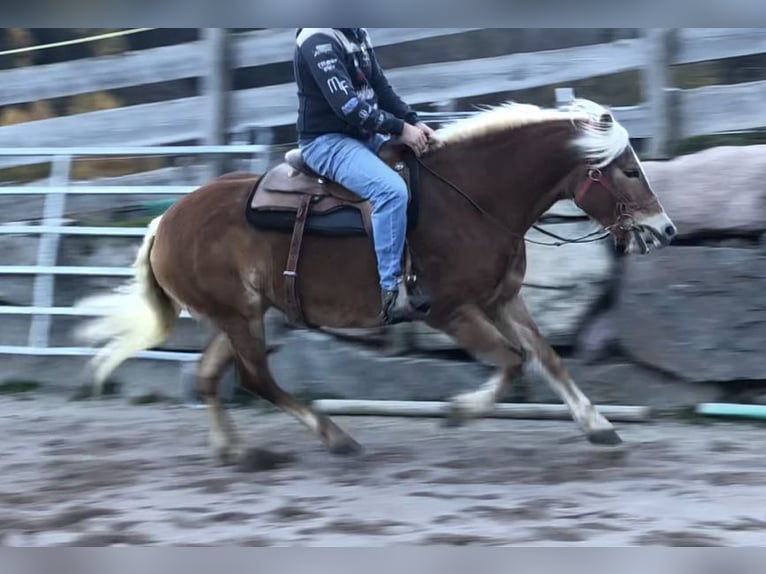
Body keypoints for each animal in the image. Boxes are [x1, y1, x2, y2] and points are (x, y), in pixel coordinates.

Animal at [75, 100, 680, 468]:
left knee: (209, 378)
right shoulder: (451, 311)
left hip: (241, 314)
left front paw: (599, 427)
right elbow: (511, 363)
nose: (665, 230)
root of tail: (164, 222)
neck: (471, 198)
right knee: (255, 379)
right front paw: (460, 411)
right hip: (240, 316)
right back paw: (334, 436)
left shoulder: (502, 300)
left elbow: (547, 359)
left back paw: (238, 452)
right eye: (628, 170)